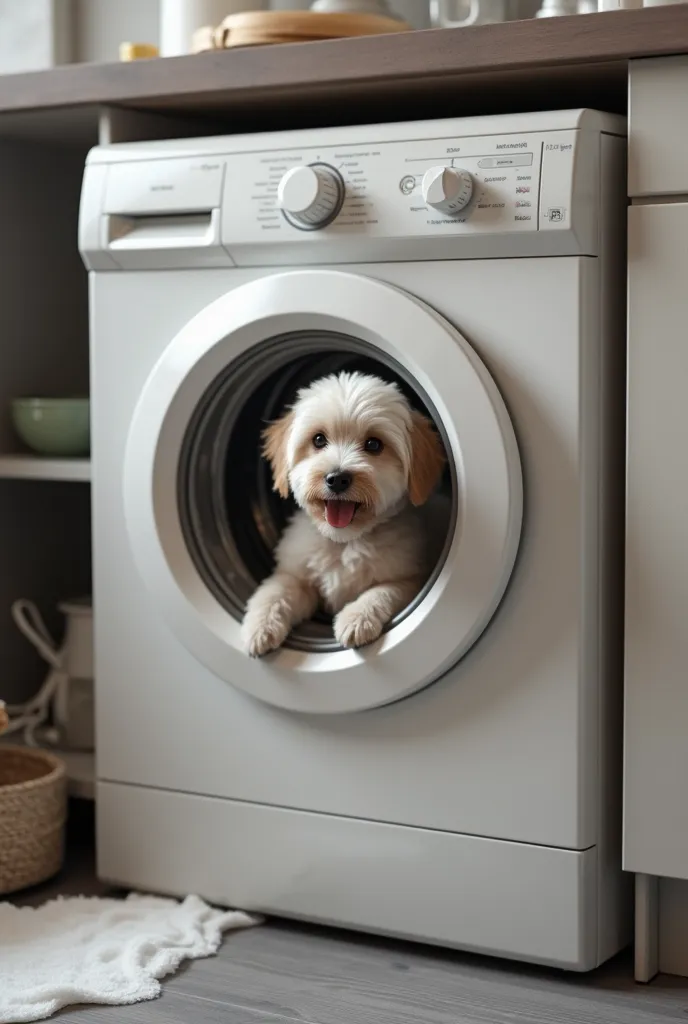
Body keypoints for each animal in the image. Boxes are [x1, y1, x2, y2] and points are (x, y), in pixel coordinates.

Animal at [241, 370, 446, 655]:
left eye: (373, 444)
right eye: (318, 440)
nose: (337, 478)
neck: (344, 542)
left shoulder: (409, 579)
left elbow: (381, 592)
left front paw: (357, 617)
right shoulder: (296, 575)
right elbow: (275, 591)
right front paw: (259, 625)